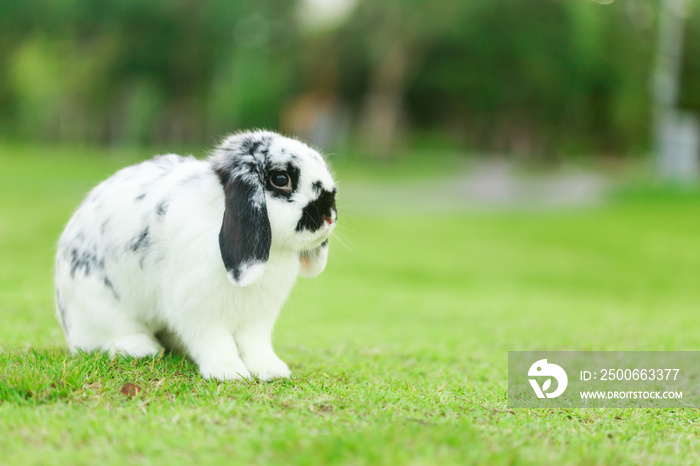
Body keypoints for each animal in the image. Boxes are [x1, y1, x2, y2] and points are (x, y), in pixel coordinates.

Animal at [54, 130, 340, 378]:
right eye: (281, 179)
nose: (329, 216)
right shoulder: (200, 311)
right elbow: (216, 342)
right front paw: (229, 372)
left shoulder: (257, 317)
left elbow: (255, 345)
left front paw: (271, 371)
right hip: (101, 306)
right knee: (115, 334)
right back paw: (143, 349)